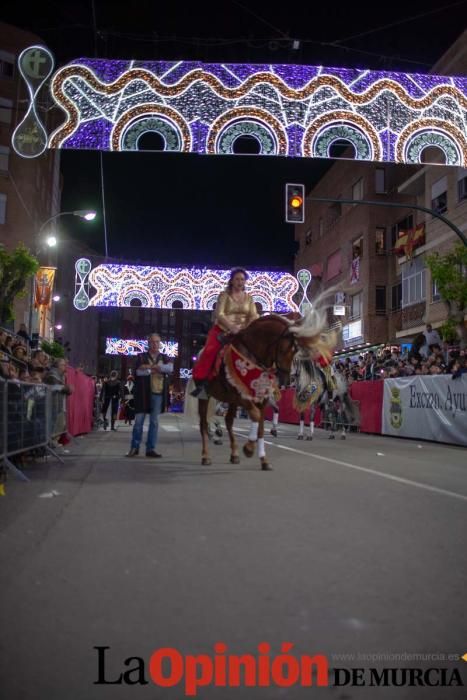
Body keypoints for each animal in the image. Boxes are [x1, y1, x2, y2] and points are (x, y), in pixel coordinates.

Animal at [185, 308, 334, 468]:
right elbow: (256, 416)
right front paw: (249, 448)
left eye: (295, 351)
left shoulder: (262, 399)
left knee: (228, 421)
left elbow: (261, 426)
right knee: (204, 423)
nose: (286, 380)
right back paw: (206, 455)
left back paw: (234, 453)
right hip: (206, 397)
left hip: (230, 400)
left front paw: (263, 459)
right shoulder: (243, 396)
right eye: (288, 350)